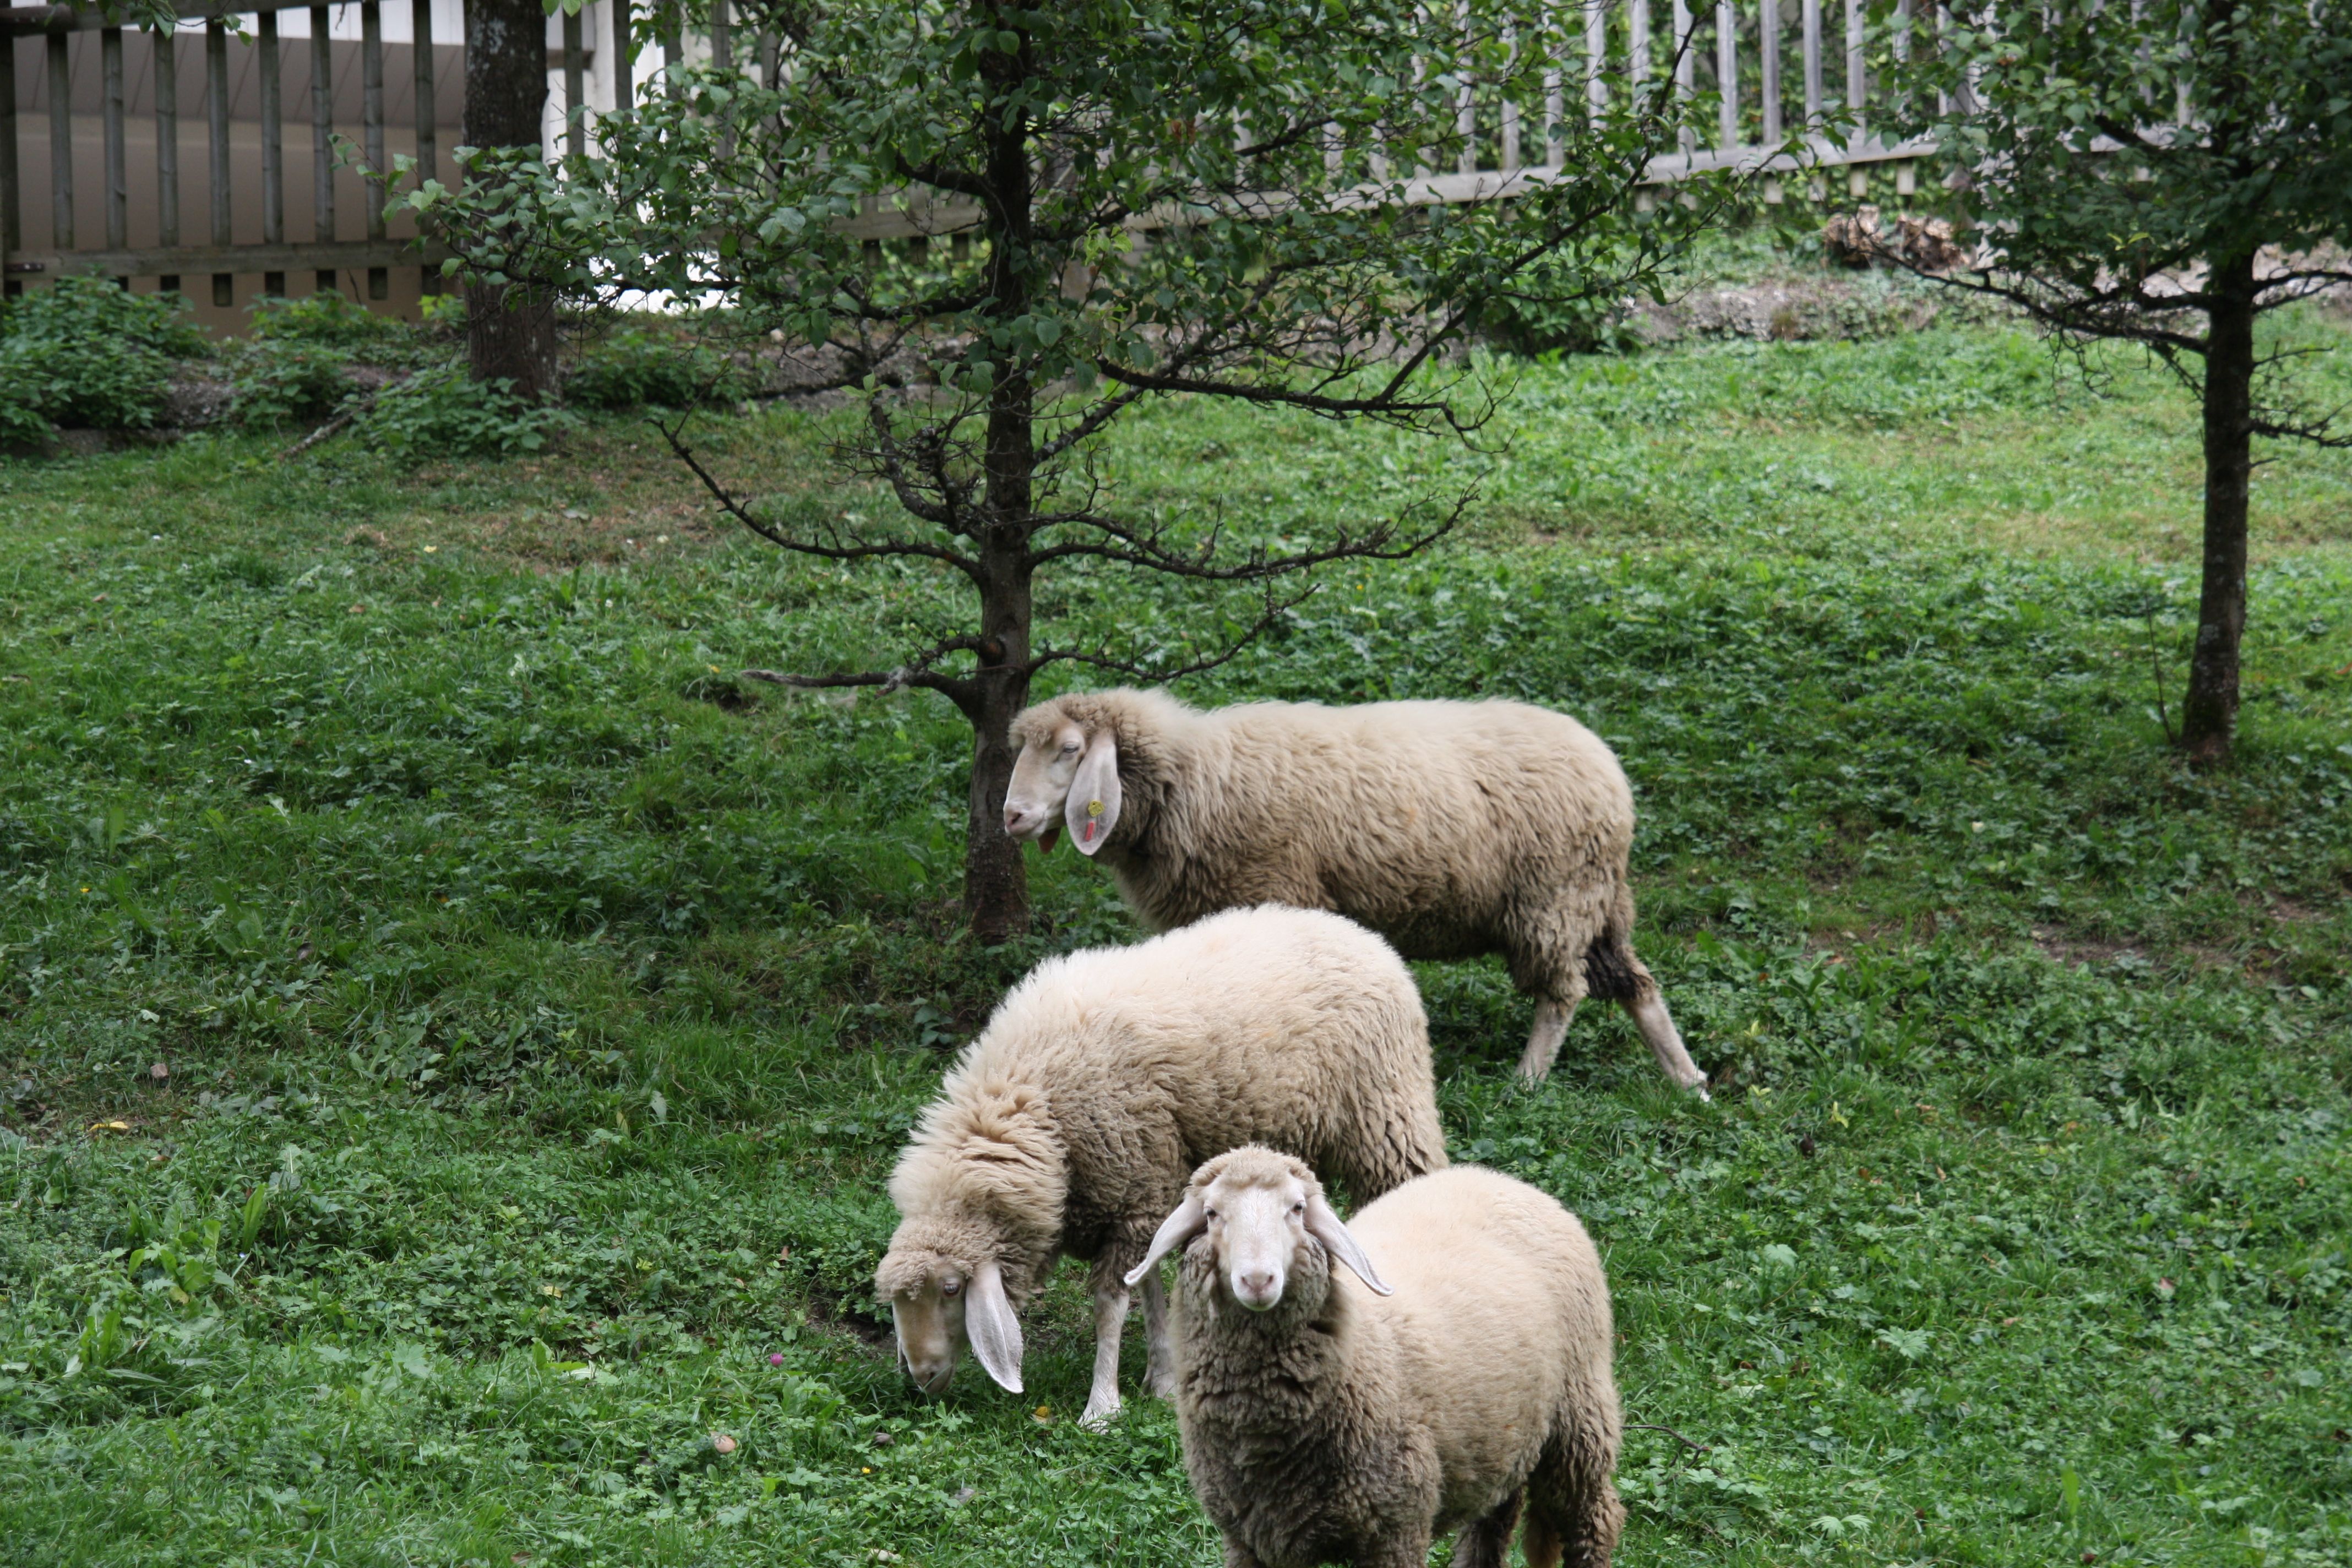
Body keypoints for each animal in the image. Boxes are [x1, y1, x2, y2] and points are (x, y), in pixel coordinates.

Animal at [875, 905, 1449, 1429]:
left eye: (952, 1289)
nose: (920, 1378)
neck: (1030, 1098)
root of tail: (1359, 933)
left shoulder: (1134, 1181)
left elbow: (1111, 1304)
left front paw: (1102, 1407)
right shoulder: (1138, 1193)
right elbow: (1148, 1279)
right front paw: (1162, 1379)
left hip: (1387, 1114)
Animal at [1003, 688, 1709, 1096]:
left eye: (1070, 749)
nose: (1009, 816)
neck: (1196, 780)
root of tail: (1610, 773)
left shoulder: (1272, 891)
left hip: (1554, 899)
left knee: (1565, 992)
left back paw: (1528, 1080)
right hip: (1598, 901)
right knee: (1637, 984)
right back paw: (1687, 1079)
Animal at [1126, 1145, 1623, 1568]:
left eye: (1297, 1209)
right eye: (1212, 1214)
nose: (1258, 1280)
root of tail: (1498, 1179)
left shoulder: (1396, 1529)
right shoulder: (1250, 1538)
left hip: (1579, 1419)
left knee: (1593, 1522)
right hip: (1505, 1436)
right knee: (1495, 1520)